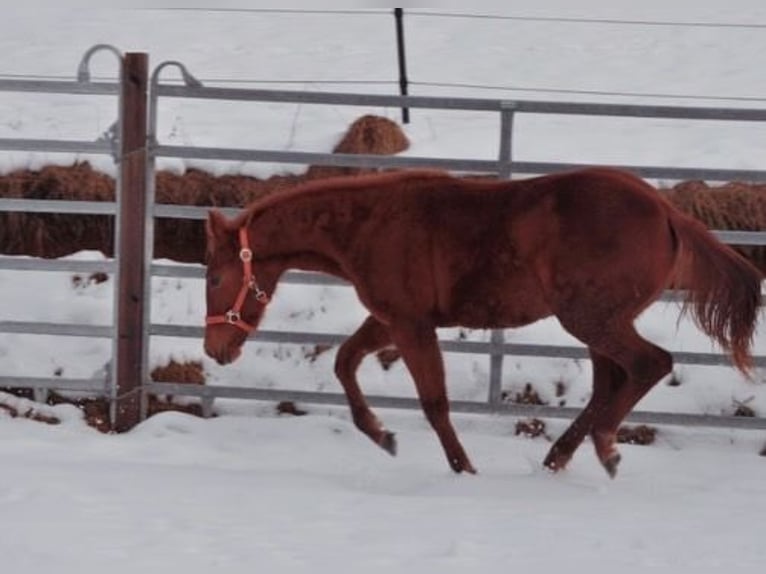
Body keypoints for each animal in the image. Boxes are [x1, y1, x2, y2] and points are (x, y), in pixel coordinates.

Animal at [203, 167, 762, 478]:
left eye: (213, 276)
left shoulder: (410, 325)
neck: (368, 224)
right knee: (610, 383)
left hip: (591, 319)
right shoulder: (390, 320)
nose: (215, 350)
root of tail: (669, 213)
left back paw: (605, 449)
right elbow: (344, 362)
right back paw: (558, 458)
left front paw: (463, 468)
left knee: (650, 364)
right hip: (598, 323)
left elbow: (435, 404)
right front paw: (382, 436)